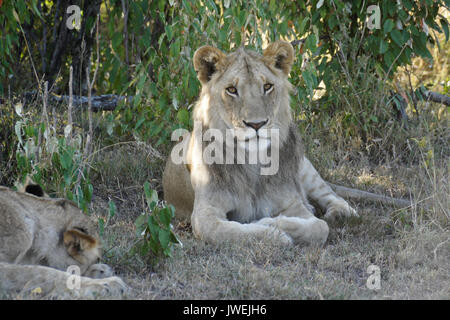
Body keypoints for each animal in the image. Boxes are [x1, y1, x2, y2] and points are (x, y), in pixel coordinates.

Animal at [163, 40, 356, 245]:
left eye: (268, 86)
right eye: (231, 90)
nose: (256, 124)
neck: (252, 162)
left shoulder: (292, 203)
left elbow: (319, 227)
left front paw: (271, 222)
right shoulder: (204, 213)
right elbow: (233, 232)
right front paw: (273, 232)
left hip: (305, 168)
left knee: (331, 195)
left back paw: (340, 212)